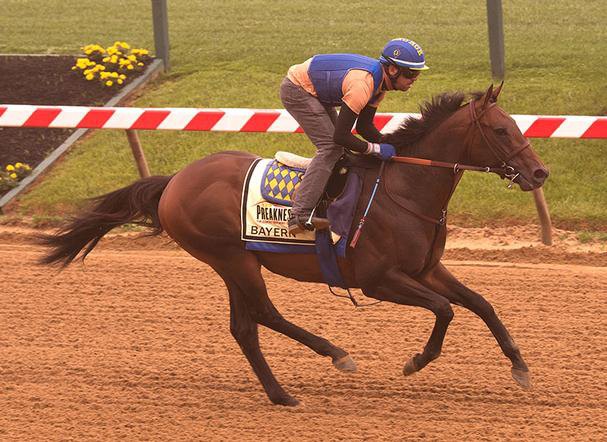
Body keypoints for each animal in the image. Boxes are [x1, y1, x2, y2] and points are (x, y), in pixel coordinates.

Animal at [39, 84, 552, 406]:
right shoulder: (379, 280)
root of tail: (175, 182)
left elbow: (481, 304)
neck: (404, 188)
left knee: (244, 327)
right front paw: (416, 362)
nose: (540, 172)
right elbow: (445, 310)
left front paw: (521, 368)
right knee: (263, 314)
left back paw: (280, 393)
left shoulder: (426, 270)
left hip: (236, 261)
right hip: (230, 258)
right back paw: (335, 354)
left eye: (516, 124)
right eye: (502, 130)